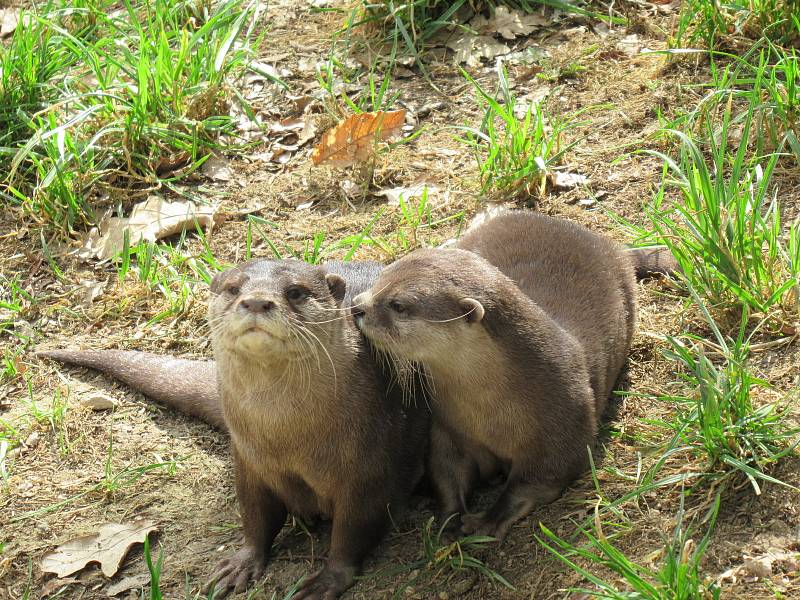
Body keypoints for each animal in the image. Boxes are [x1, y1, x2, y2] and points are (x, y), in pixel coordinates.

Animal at [40, 262, 428, 600]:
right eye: (233, 288)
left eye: (295, 291)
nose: (256, 301)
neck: (287, 436)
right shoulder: (249, 461)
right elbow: (255, 516)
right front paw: (242, 563)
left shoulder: (370, 469)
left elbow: (353, 530)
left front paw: (328, 578)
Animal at [354, 212, 640, 540]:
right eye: (381, 278)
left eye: (398, 305)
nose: (357, 306)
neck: (491, 412)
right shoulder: (447, 428)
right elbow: (447, 469)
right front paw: (451, 515)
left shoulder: (564, 425)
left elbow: (537, 480)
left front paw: (488, 519)